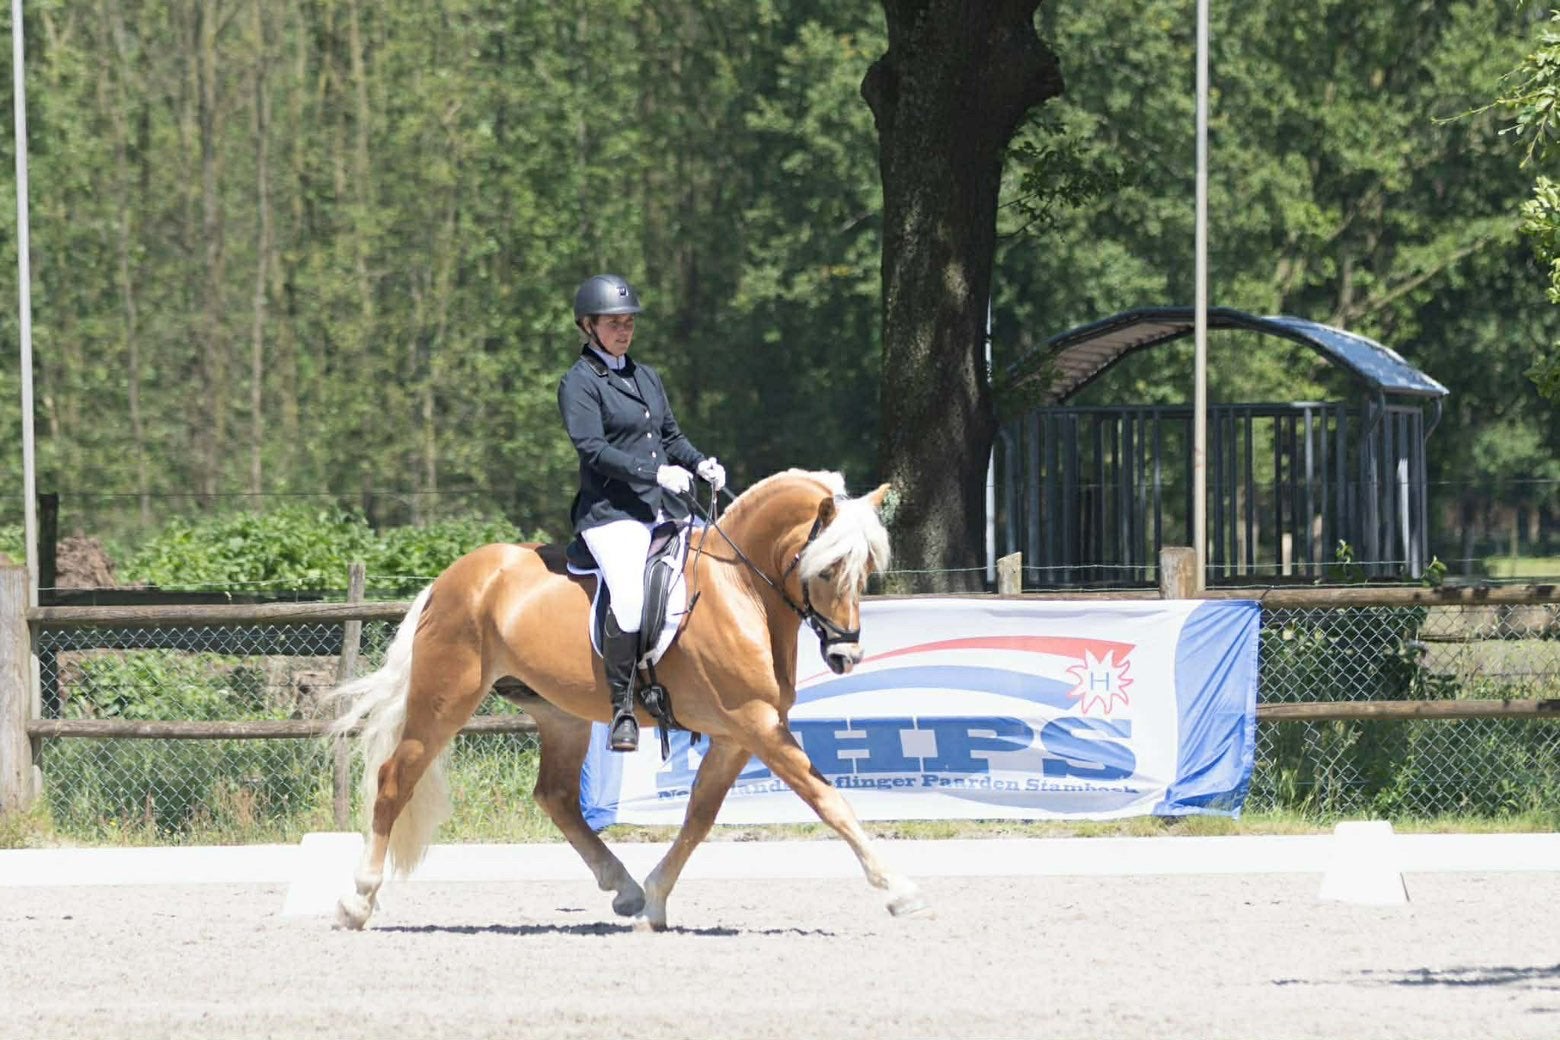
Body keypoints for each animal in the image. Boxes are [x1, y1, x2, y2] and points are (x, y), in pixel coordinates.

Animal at [329, 468, 931, 931]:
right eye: (826, 569)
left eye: (867, 570)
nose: (847, 656)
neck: (740, 590)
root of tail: (449, 578)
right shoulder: (756, 724)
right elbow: (828, 800)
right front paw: (899, 891)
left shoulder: (738, 735)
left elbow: (699, 817)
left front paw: (655, 900)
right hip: (444, 699)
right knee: (394, 780)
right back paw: (357, 901)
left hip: (560, 715)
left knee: (556, 797)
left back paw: (624, 889)